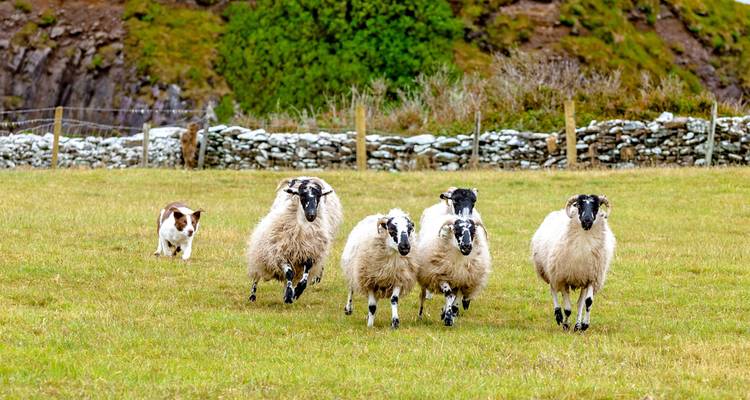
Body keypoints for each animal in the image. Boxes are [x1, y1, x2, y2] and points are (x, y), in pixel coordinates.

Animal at [531, 194, 615, 332]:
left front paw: (583, 325)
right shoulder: (563, 278)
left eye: (596, 206)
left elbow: (588, 302)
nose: (587, 220)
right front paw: (565, 325)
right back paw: (558, 315)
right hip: (551, 272)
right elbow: (568, 308)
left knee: (580, 303)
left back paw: (577, 324)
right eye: (579, 205)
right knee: (553, 290)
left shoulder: (591, 278)